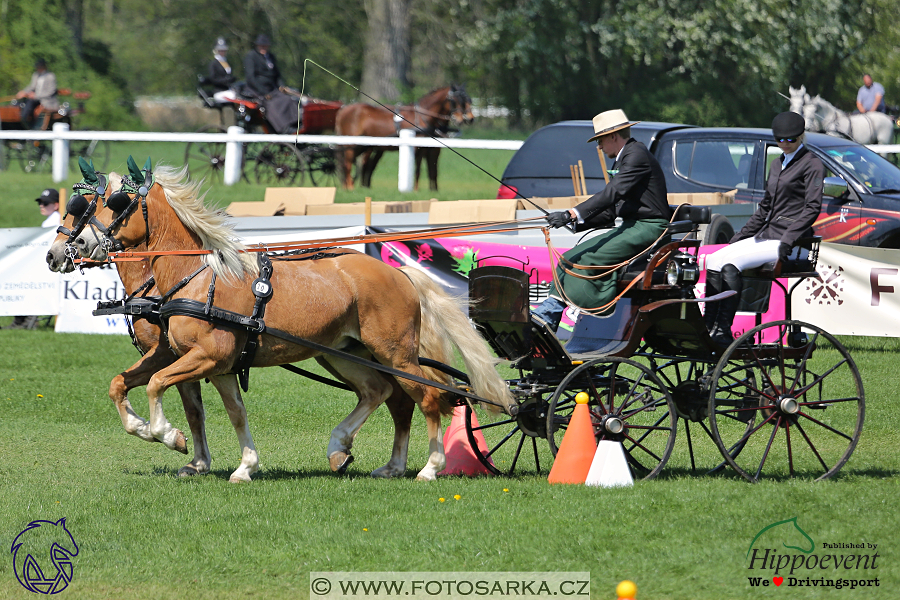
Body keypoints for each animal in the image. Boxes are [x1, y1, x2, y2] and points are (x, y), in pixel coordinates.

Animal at [67, 162, 516, 480]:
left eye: (116, 203)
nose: (68, 250)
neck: (196, 276)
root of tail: (400, 273)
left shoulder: (208, 357)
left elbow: (159, 386)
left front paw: (166, 435)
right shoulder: (213, 364)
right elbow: (226, 411)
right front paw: (242, 466)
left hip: (395, 353)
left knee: (429, 397)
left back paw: (429, 468)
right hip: (346, 354)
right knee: (384, 394)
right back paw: (358, 454)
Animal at [336, 84, 478, 191]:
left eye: (468, 100)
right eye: (455, 100)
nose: (468, 119)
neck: (422, 117)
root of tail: (343, 110)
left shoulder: (432, 150)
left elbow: (433, 170)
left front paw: (434, 191)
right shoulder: (418, 148)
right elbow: (417, 170)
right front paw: (415, 190)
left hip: (366, 147)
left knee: (361, 165)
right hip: (351, 146)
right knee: (348, 165)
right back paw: (350, 188)